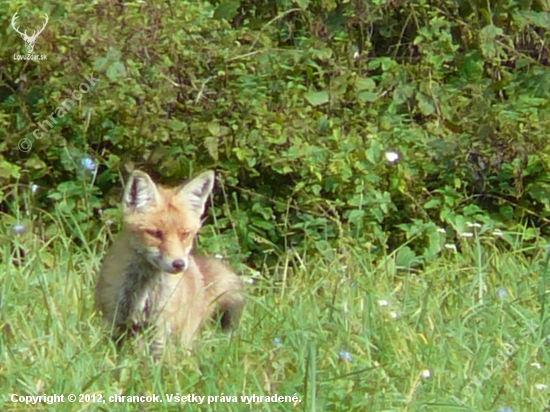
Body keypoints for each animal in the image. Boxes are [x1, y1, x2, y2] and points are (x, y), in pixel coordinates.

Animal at [95, 169, 244, 352]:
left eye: (185, 234)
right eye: (156, 234)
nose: (179, 264)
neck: (144, 293)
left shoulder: (161, 331)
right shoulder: (111, 323)